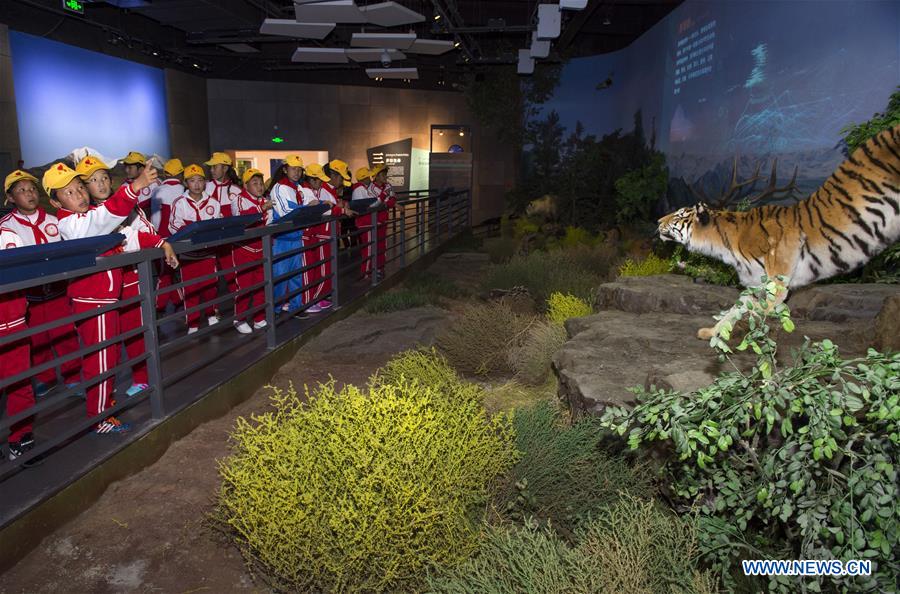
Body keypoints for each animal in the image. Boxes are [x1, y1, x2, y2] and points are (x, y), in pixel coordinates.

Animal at [656, 124, 896, 338]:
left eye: (678, 215)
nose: (658, 220)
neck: (727, 244)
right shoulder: (755, 285)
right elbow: (736, 308)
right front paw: (712, 332)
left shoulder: (777, 284)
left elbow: (756, 311)